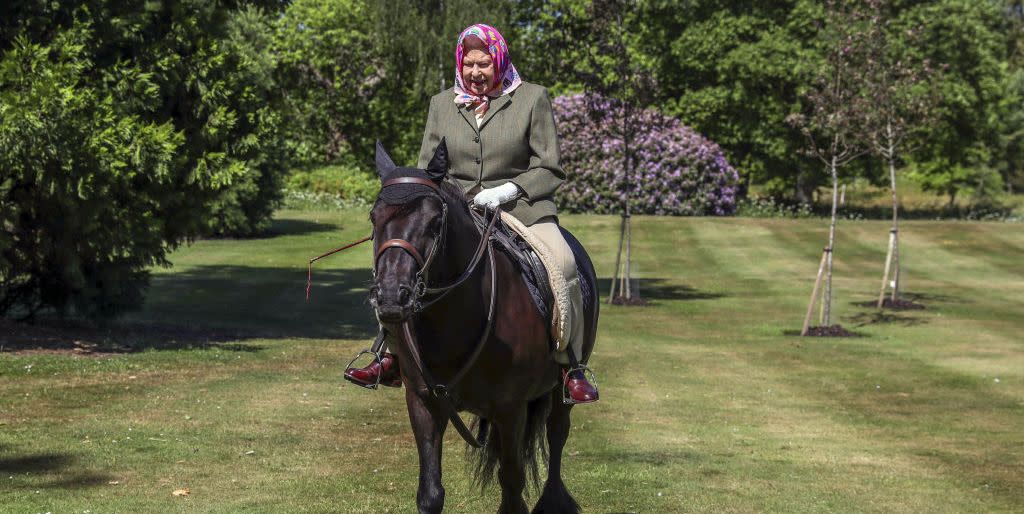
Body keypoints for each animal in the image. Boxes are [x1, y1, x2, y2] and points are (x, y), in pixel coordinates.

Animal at [368, 138, 598, 511]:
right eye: (374, 218)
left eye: (435, 221)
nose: (391, 297)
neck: (452, 320)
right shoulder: (423, 402)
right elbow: (430, 493)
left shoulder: (511, 409)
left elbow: (513, 486)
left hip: (559, 390)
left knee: (557, 434)